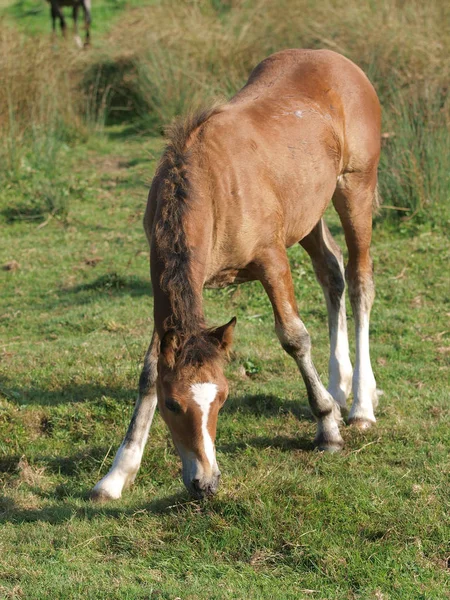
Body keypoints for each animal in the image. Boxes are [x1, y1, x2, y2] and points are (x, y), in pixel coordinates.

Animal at [93, 49, 382, 502]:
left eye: (224, 399)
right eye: (172, 404)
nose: (205, 482)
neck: (209, 185)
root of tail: (339, 61)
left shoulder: (272, 260)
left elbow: (295, 338)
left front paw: (327, 429)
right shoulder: (165, 287)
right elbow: (149, 369)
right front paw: (117, 474)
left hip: (355, 188)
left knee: (359, 281)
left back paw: (360, 406)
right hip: (308, 212)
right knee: (331, 271)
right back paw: (339, 387)